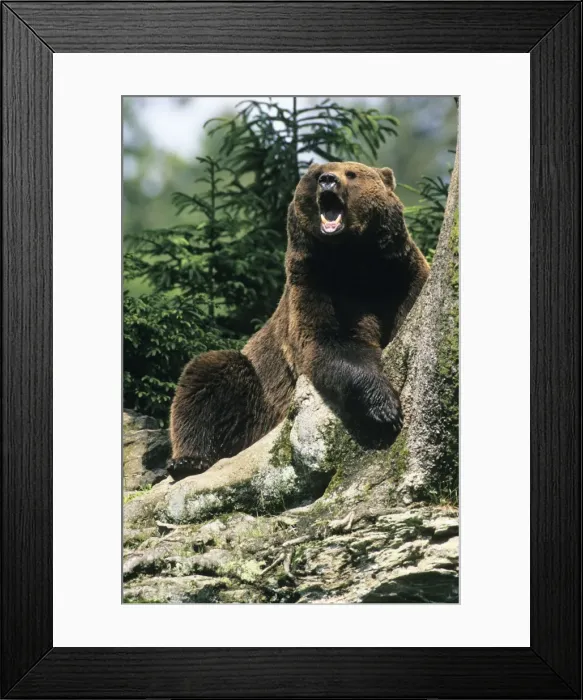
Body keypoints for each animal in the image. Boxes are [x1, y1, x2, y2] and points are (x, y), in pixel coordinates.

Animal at [168, 161, 430, 479]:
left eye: (352, 174)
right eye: (317, 176)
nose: (328, 180)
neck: (355, 263)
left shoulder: (402, 277)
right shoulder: (314, 286)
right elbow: (328, 345)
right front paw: (384, 408)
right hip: (259, 399)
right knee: (208, 375)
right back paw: (188, 461)